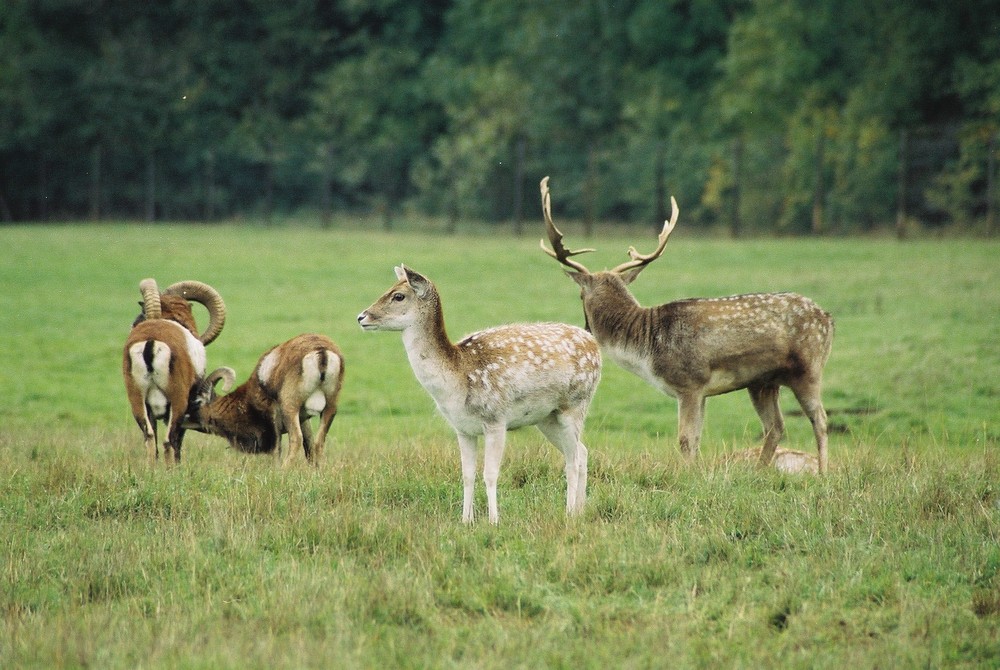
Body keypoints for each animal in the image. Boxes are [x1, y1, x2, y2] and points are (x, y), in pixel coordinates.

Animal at [356, 266, 596, 524]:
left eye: (398, 296)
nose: (362, 317)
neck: (457, 379)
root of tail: (594, 344)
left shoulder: (496, 420)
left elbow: (490, 474)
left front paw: (493, 521)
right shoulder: (462, 428)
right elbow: (467, 475)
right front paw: (465, 520)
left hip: (576, 404)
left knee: (572, 460)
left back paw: (569, 513)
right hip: (546, 418)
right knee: (582, 452)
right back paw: (580, 510)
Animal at [540, 176, 836, 476]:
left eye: (580, 295)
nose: (587, 328)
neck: (645, 346)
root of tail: (828, 319)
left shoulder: (690, 383)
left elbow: (685, 439)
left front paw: (688, 475)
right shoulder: (702, 391)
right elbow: (695, 439)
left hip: (808, 368)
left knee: (820, 420)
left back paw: (823, 473)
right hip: (762, 383)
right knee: (775, 427)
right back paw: (758, 471)